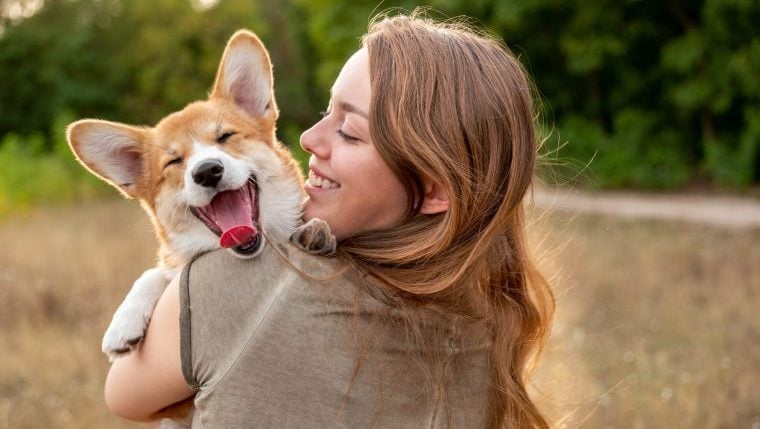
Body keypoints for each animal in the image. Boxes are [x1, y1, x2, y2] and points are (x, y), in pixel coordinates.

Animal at [67, 30, 334, 366]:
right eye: (173, 162)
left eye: (225, 137)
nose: (207, 171)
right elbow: (155, 273)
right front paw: (123, 322)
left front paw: (316, 233)